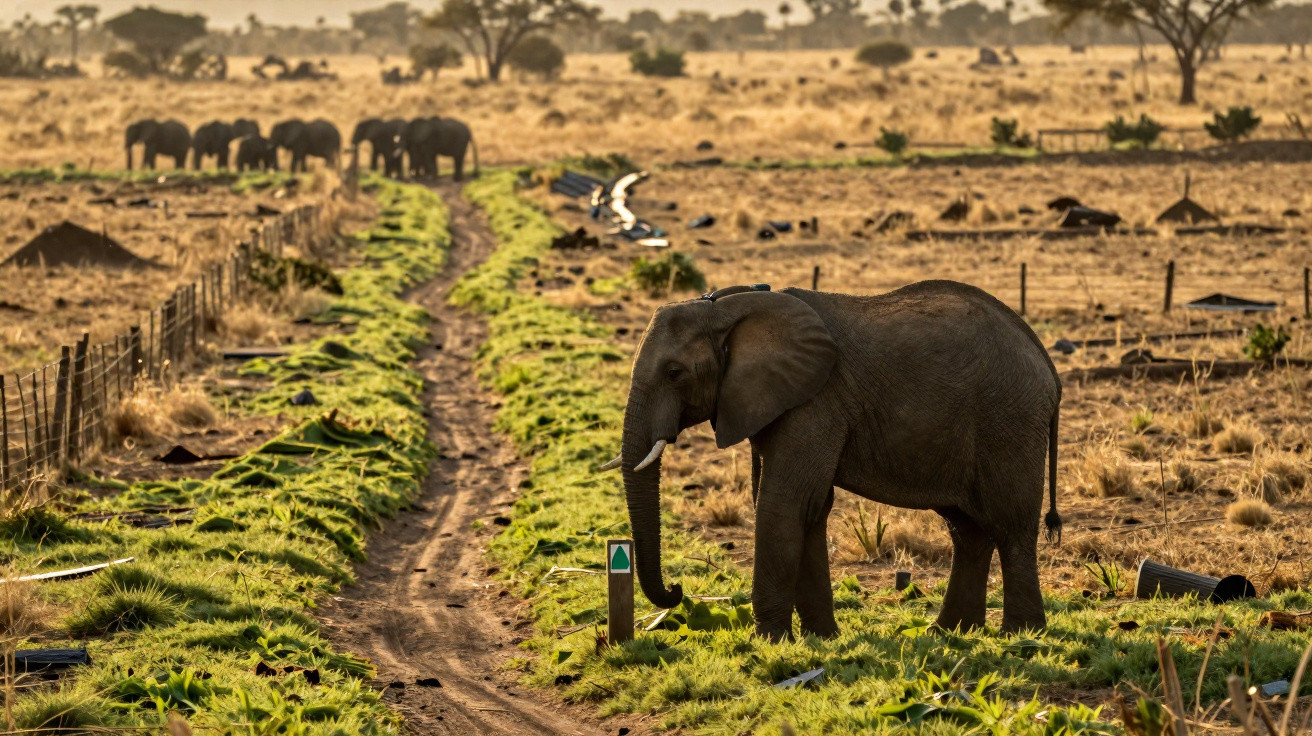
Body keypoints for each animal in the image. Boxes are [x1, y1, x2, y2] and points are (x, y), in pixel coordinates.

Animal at [604, 281, 1062, 640]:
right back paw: (950, 633)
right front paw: (820, 639)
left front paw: (769, 641)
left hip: (1009, 420)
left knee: (1011, 525)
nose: (677, 589)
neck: (726, 308)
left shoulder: (814, 403)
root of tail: (1045, 361)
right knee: (967, 529)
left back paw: (1021, 635)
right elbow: (810, 508)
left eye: (675, 373)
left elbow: (785, 504)